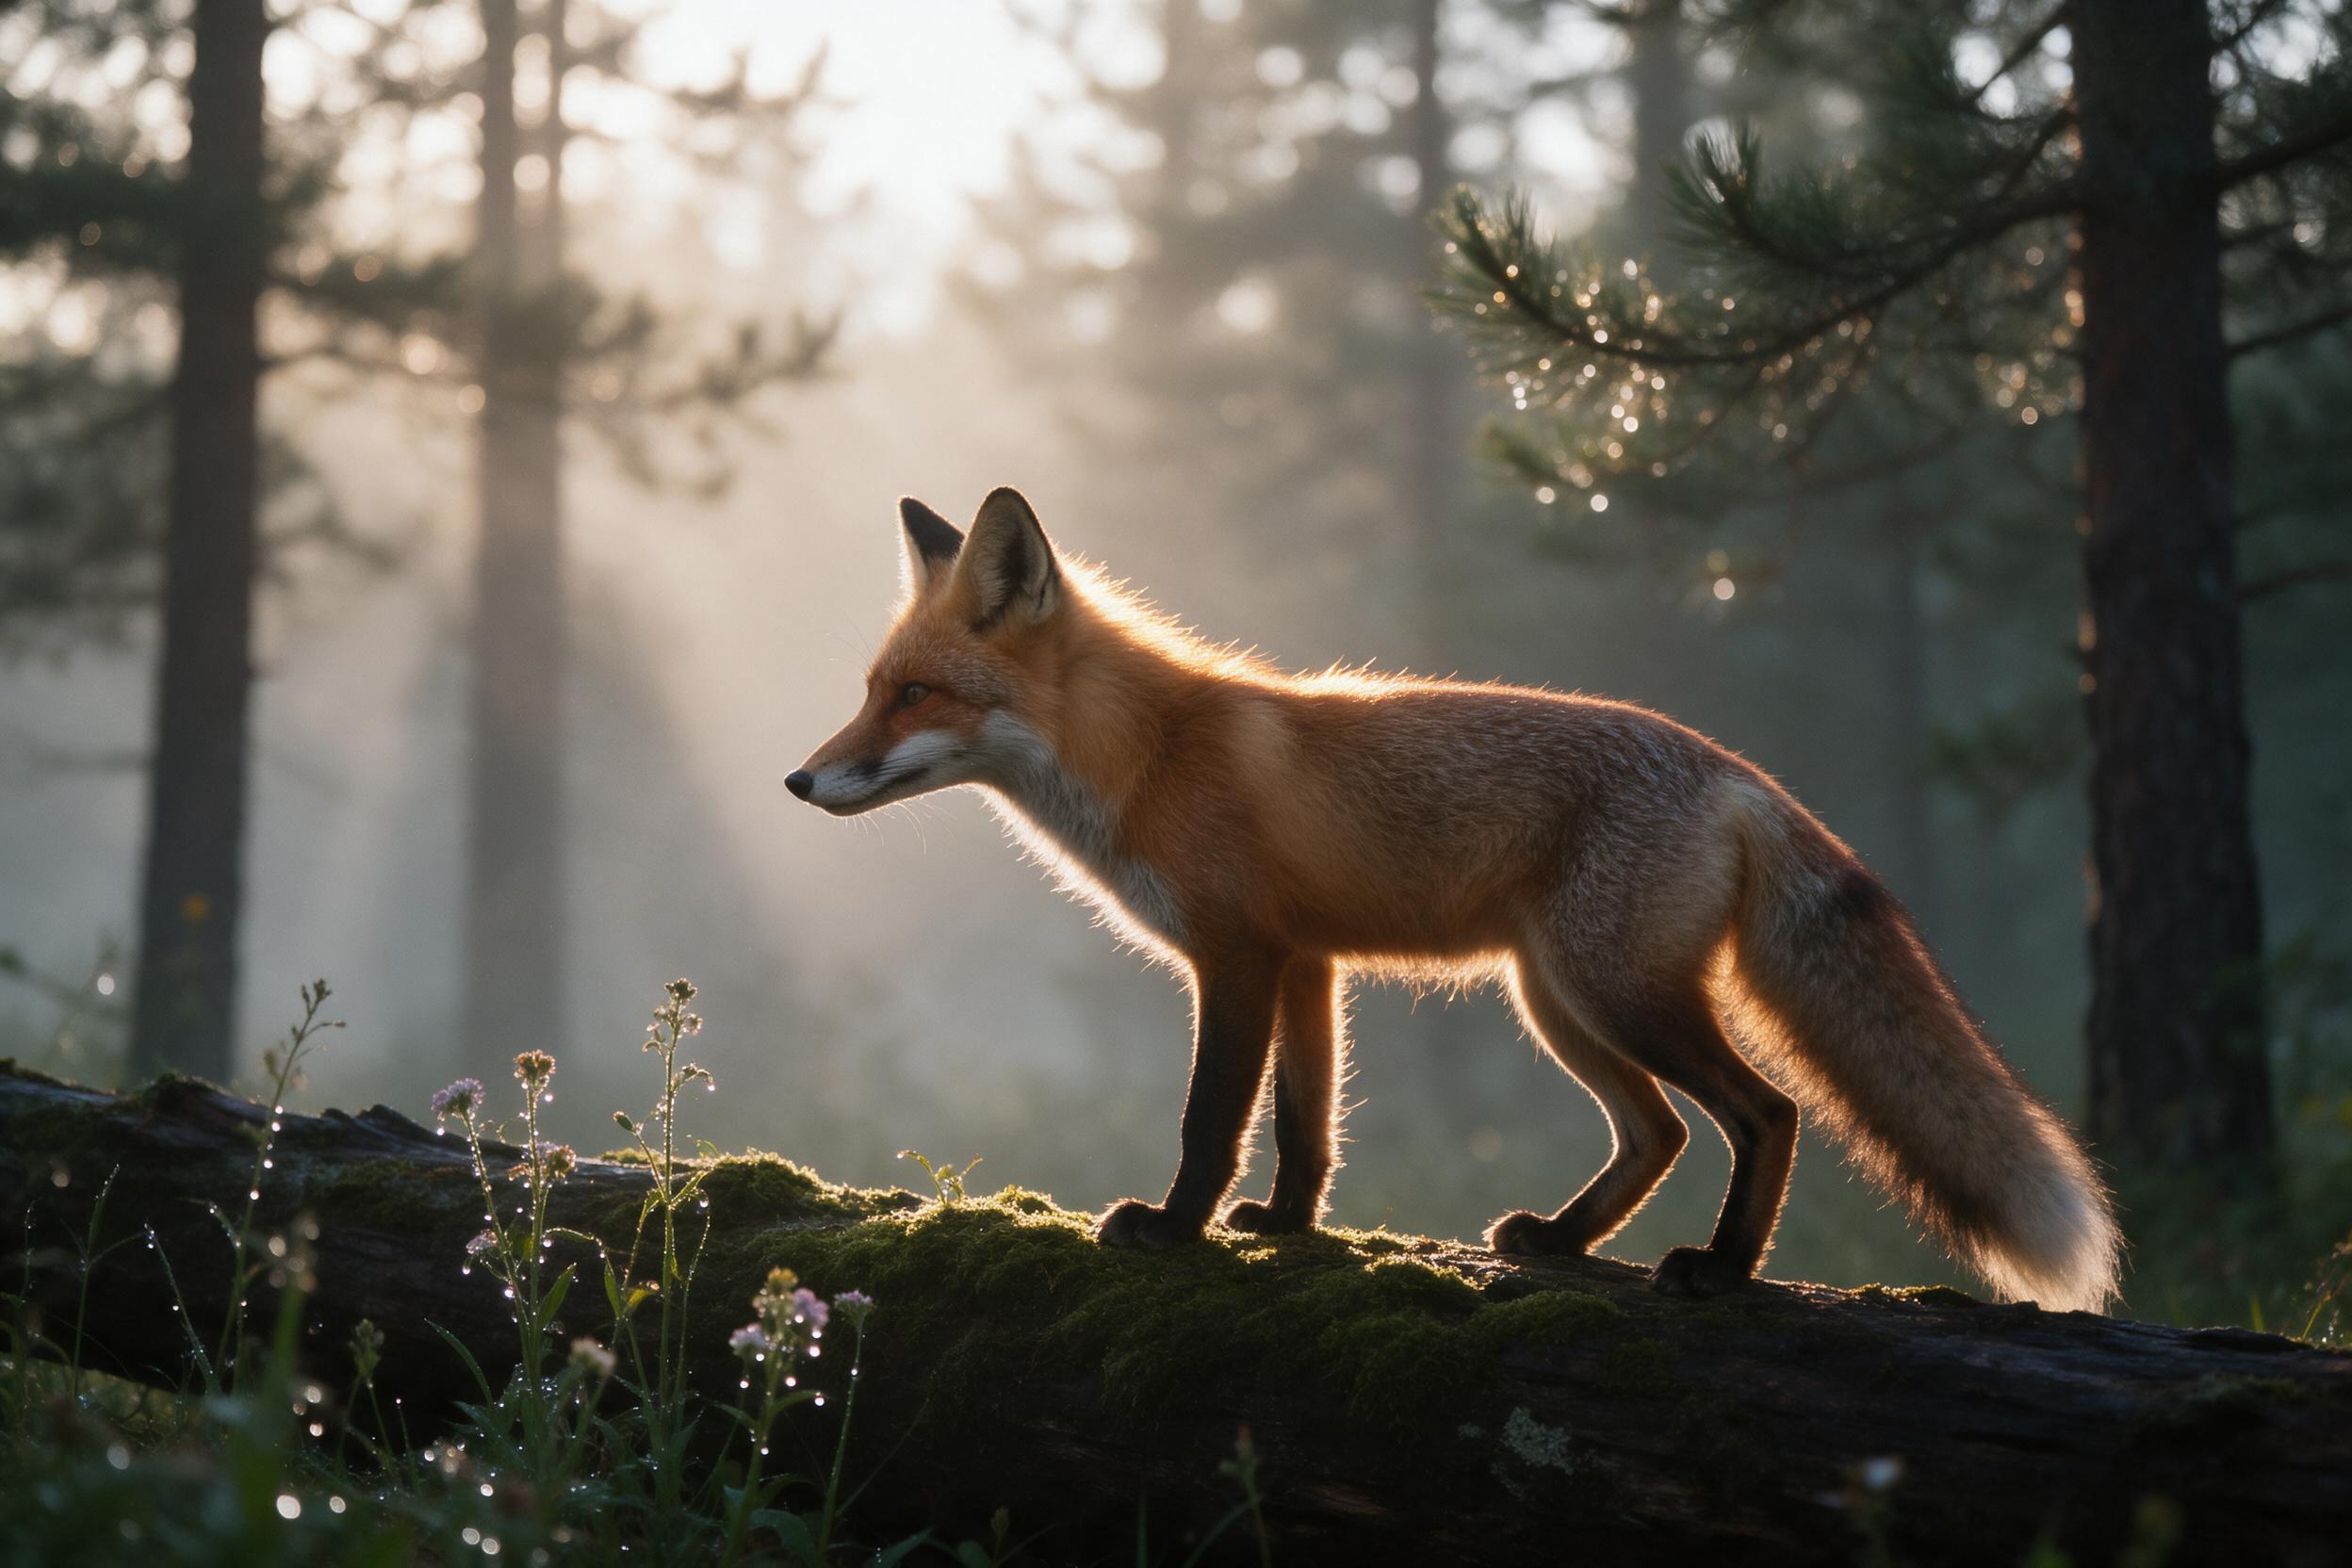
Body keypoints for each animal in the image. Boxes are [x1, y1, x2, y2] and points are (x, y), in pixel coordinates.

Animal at [787, 487, 2123, 1310]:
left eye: (913, 695)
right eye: (871, 688)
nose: (799, 780)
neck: (1149, 755)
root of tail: (1736, 771)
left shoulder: (1237, 958)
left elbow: (1210, 1119)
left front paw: (1173, 1230)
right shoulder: (1308, 963)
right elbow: (1308, 1125)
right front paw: (1286, 1226)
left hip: (1616, 994)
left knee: (1768, 1112)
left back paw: (1723, 1269)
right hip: (1559, 1000)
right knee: (1661, 1131)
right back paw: (1564, 1241)